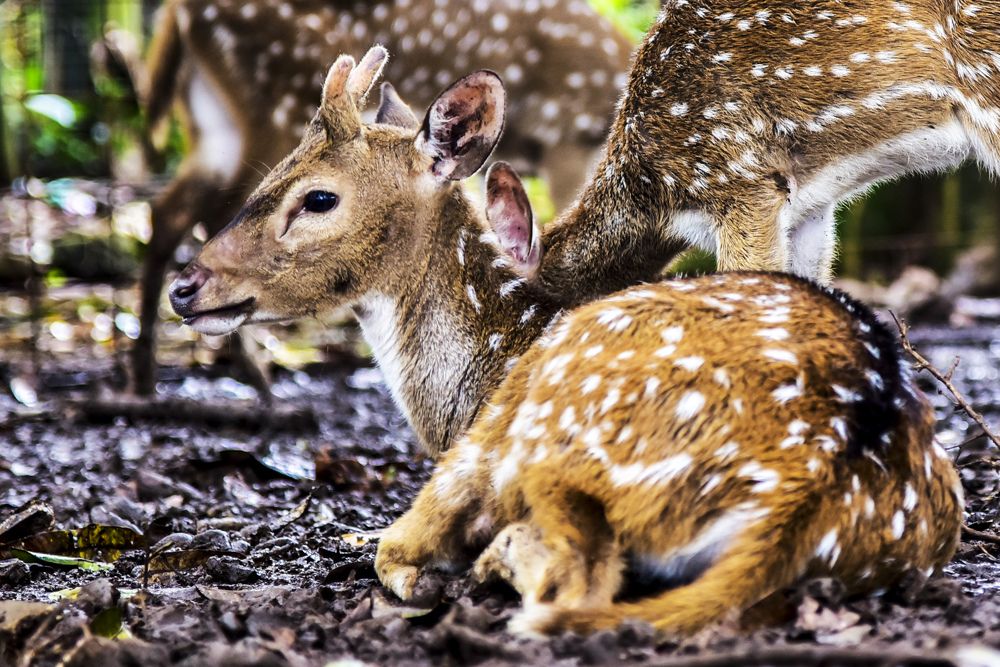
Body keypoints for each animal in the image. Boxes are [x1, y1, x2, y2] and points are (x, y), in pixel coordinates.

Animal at [132, 0, 632, 394]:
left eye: (318, 200)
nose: (184, 292)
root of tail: (180, 10)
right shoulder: (566, 143)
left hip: (216, 122)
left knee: (168, 208)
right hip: (274, 99)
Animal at [167, 47, 963, 636]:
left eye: (319, 197)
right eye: (273, 174)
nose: (187, 287)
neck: (490, 357)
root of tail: (817, 478)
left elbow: (389, 555)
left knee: (573, 579)